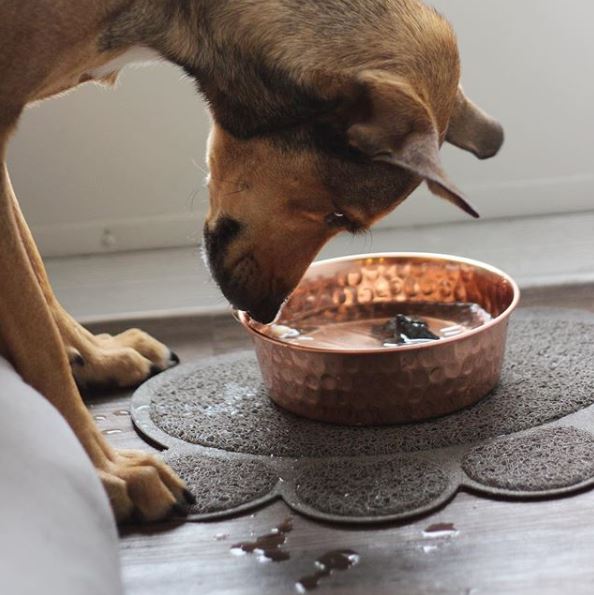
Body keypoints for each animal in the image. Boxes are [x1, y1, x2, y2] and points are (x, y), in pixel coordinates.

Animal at [0, 0, 500, 520]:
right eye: (339, 215)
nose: (264, 312)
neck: (172, 17)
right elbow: (38, 339)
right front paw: (109, 470)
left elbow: (38, 276)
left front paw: (95, 356)